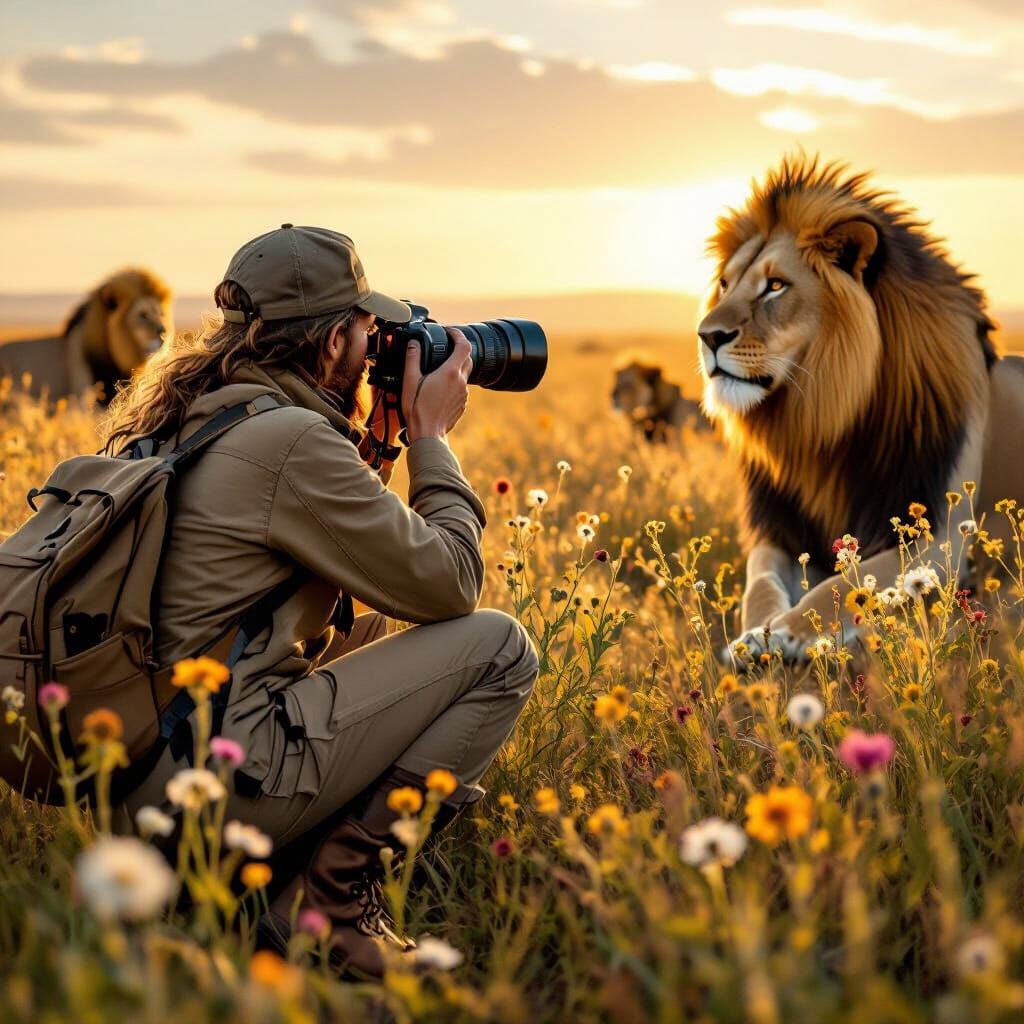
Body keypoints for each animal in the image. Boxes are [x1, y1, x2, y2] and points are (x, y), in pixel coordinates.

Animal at [696, 153, 1024, 662]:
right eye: (725, 285)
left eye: (775, 286)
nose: (707, 336)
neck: (819, 422)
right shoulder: (781, 531)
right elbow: (761, 582)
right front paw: (751, 636)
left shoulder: (940, 534)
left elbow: (842, 583)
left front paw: (783, 635)